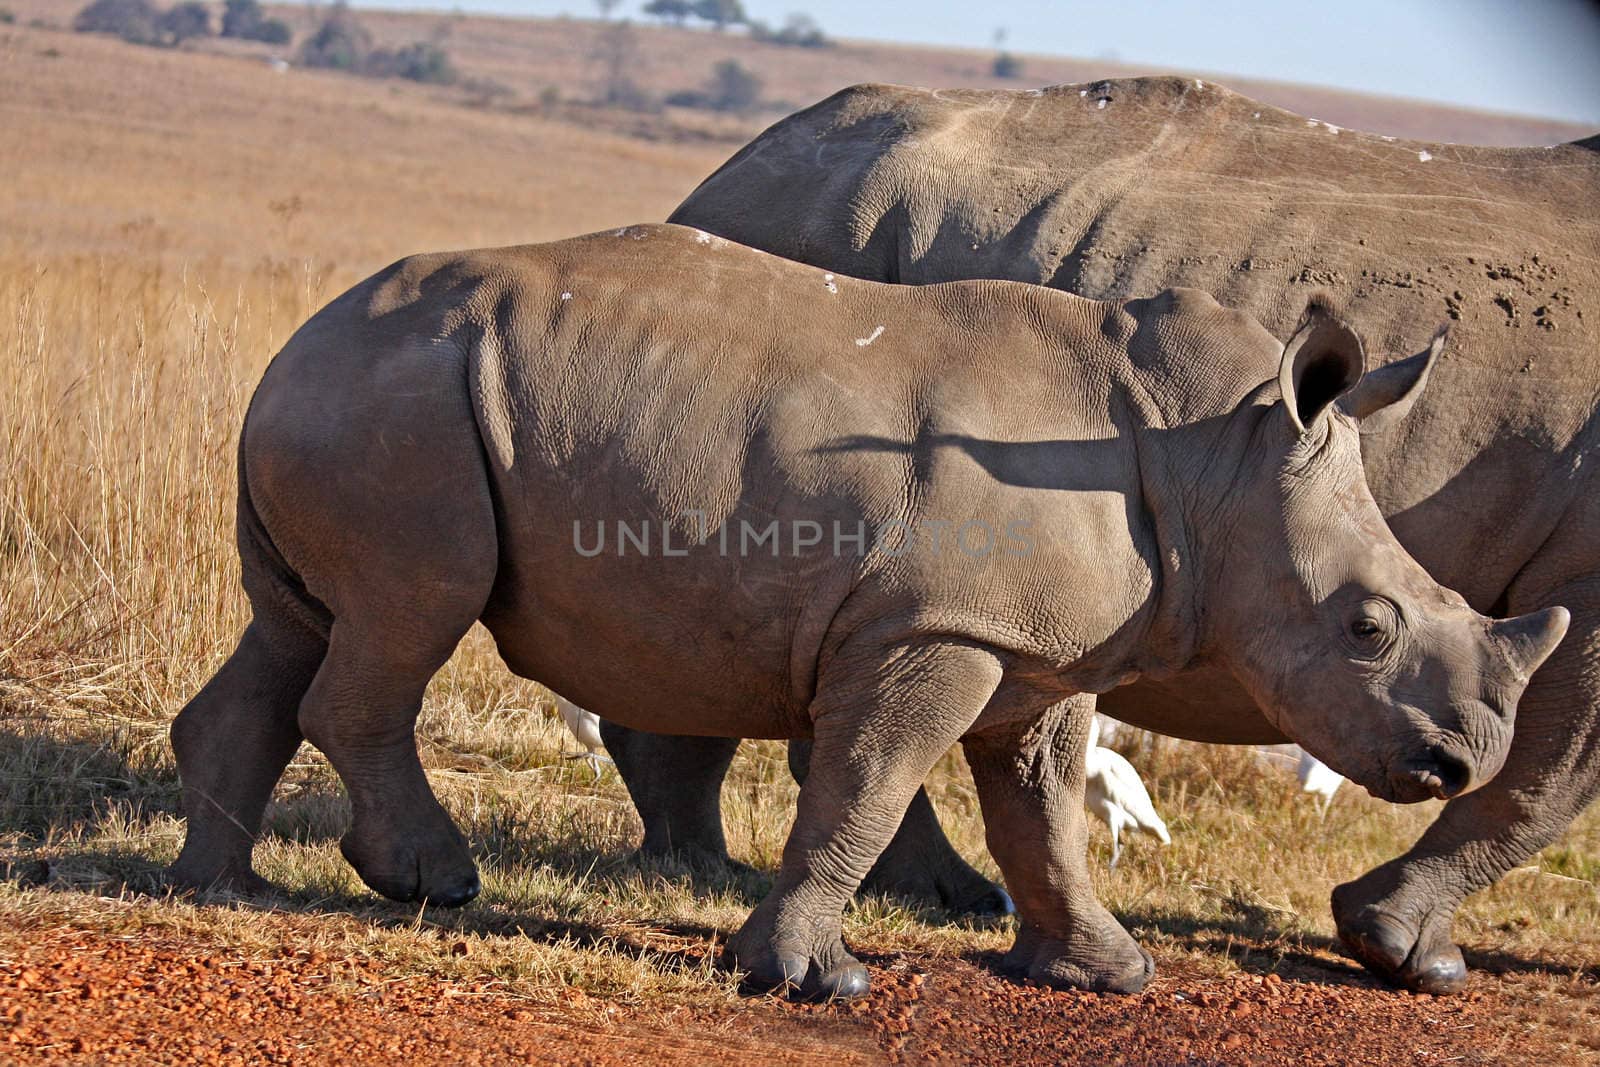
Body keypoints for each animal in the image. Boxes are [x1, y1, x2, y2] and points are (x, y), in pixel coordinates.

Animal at [168, 225, 1568, 1004]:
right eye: (1367, 627)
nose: (1460, 757)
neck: (1217, 459)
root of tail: (294, 339)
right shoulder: (932, 627)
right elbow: (867, 784)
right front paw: (816, 979)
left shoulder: (1034, 646)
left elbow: (1043, 808)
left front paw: (1107, 972)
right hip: (397, 399)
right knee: (404, 618)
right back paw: (432, 882)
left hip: (370, 388)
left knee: (303, 624)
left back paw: (222, 885)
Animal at [601, 73, 1600, 991]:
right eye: (1367, 626)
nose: (1455, 759)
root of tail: (737, 165)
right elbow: (1550, 775)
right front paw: (1407, 954)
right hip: (808, 236)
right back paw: (750, 874)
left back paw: (761, 872)